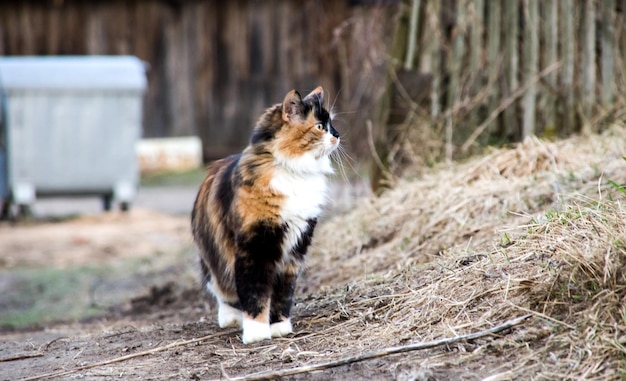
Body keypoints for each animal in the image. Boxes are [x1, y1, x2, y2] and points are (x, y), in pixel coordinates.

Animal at [191, 87, 338, 344]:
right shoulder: (255, 247)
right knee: (222, 288)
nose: (338, 136)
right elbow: (255, 291)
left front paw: (279, 326)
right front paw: (257, 332)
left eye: (332, 124)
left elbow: (283, 293)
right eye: (320, 126)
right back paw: (231, 318)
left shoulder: (295, 249)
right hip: (215, 254)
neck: (295, 173)